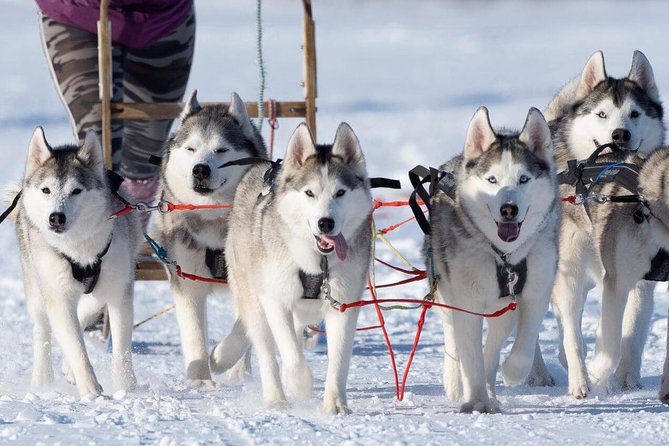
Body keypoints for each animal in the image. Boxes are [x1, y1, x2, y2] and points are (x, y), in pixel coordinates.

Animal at [14, 128, 141, 398]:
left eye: (76, 191)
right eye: (46, 190)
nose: (56, 218)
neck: (79, 249)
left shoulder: (118, 287)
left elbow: (120, 347)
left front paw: (127, 388)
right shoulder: (57, 292)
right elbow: (75, 345)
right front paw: (91, 389)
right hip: (35, 283)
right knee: (42, 328)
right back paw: (42, 378)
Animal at [154, 89, 266, 386]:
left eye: (222, 150)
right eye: (191, 149)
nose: (200, 169)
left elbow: (244, 327)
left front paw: (220, 359)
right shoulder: (186, 280)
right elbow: (194, 333)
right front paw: (200, 382)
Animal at [211, 123, 374, 414]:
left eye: (340, 193)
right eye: (309, 193)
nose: (325, 223)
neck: (317, 262)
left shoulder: (343, 304)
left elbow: (339, 361)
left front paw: (335, 404)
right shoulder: (275, 300)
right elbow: (291, 355)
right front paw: (299, 383)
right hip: (255, 298)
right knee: (266, 350)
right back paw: (275, 395)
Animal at [428, 106, 560, 412]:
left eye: (523, 179)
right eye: (492, 180)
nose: (508, 209)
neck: (504, 256)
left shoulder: (535, 291)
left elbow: (521, 346)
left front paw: (510, 373)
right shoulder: (466, 301)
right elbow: (471, 356)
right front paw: (476, 400)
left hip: (503, 308)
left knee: (494, 342)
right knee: (453, 337)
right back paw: (455, 383)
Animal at [528, 49, 664, 398]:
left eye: (634, 114)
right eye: (602, 114)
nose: (620, 134)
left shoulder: (638, 280)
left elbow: (630, 330)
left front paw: (627, 379)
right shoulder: (571, 276)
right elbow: (575, 334)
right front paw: (586, 376)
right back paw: (543, 372)